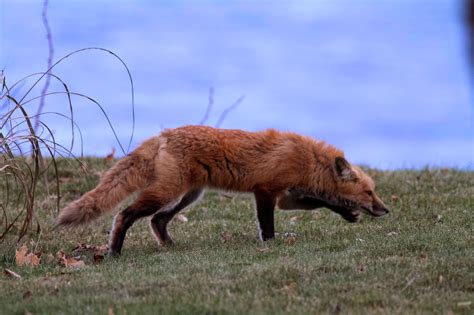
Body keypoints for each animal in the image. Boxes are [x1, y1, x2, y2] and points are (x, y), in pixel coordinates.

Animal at [56, 126, 388, 256]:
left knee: (157, 220)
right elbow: (268, 224)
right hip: (166, 193)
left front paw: (347, 214)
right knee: (125, 215)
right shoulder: (267, 191)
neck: (308, 160)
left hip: (189, 196)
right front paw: (270, 244)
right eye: (369, 193)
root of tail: (164, 135)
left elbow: (321, 201)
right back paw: (114, 251)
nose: (386, 210)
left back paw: (170, 246)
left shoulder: (286, 196)